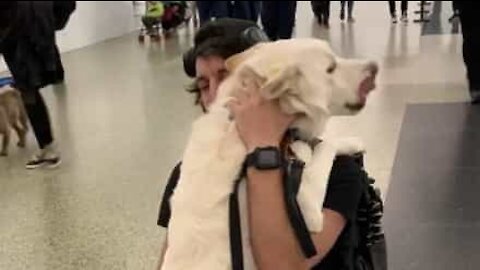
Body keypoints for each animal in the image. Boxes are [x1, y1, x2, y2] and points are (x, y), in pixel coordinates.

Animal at [161, 38, 378, 270]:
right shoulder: (307, 213)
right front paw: (347, 143)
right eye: (331, 69)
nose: (374, 67)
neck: (235, 126)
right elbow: (325, 144)